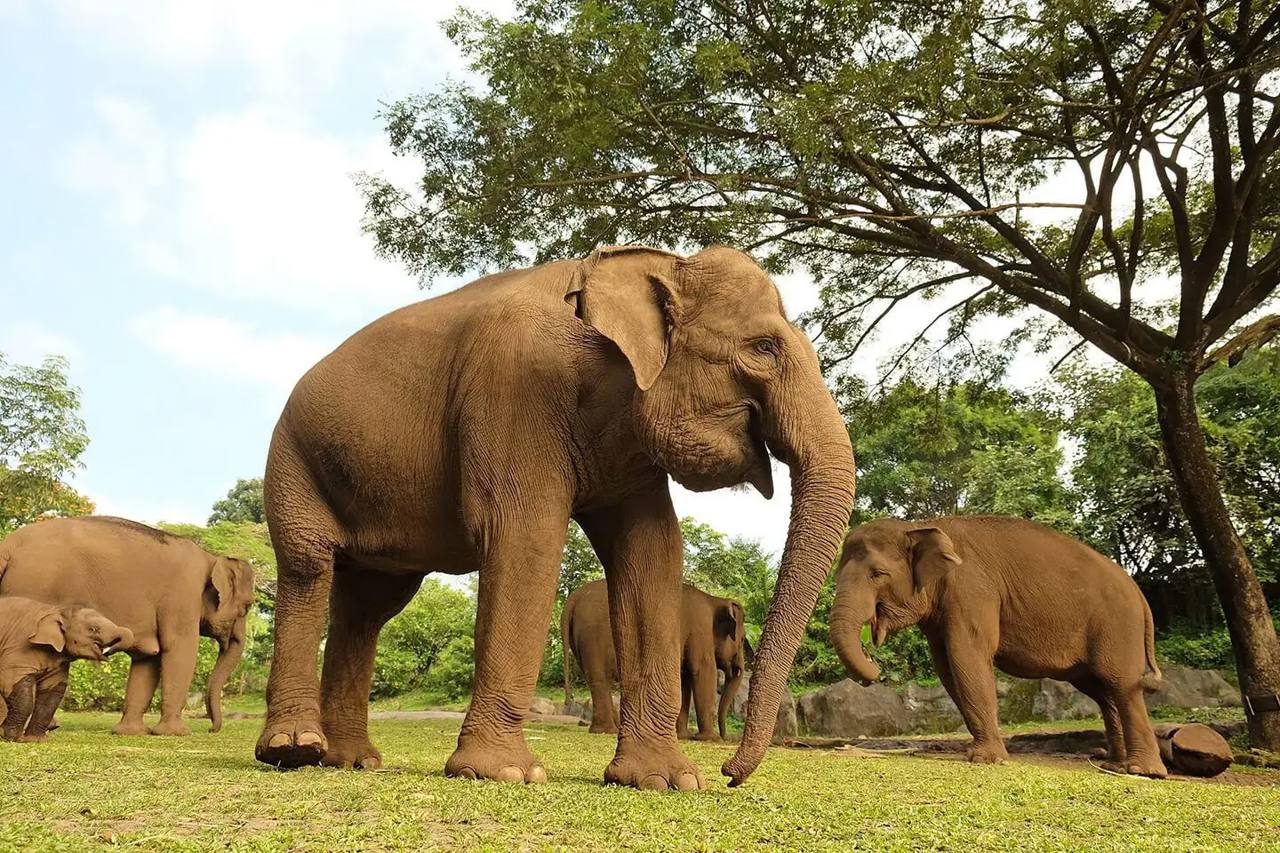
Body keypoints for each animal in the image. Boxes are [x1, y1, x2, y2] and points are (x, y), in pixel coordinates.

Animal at [0, 596, 133, 741]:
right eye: (93, 629)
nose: (109, 651)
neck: (57, 610)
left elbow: (52, 695)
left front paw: (36, 740)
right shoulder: (17, 649)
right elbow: (11, 682)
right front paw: (9, 737)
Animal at [561, 579, 752, 741]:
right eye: (742, 640)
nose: (725, 736)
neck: (714, 600)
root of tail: (574, 598)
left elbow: (684, 679)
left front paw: (683, 736)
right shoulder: (700, 629)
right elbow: (703, 671)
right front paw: (709, 739)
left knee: (598, 681)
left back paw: (611, 729)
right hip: (593, 637)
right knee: (600, 678)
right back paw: (606, 730)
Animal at [830, 516, 1167, 777]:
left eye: (877, 574)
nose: (875, 667)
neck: (920, 525)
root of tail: (1139, 594)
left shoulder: (972, 590)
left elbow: (968, 656)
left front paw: (986, 760)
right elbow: (947, 668)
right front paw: (984, 754)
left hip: (1118, 625)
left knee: (1121, 684)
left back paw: (1143, 771)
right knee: (1102, 690)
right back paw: (1115, 765)